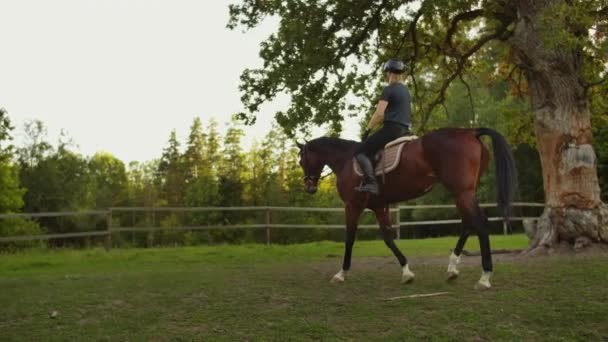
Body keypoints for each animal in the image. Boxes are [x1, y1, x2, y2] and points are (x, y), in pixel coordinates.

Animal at [296, 127, 516, 290]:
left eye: (301, 160)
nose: (309, 187)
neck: (347, 160)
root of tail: (470, 131)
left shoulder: (352, 205)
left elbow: (350, 238)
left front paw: (341, 274)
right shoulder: (379, 207)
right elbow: (388, 238)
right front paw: (407, 272)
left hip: (462, 192)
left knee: (480, 224)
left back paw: (484, 278)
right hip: (463, 193)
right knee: (468, 224)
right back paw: (452, 269)